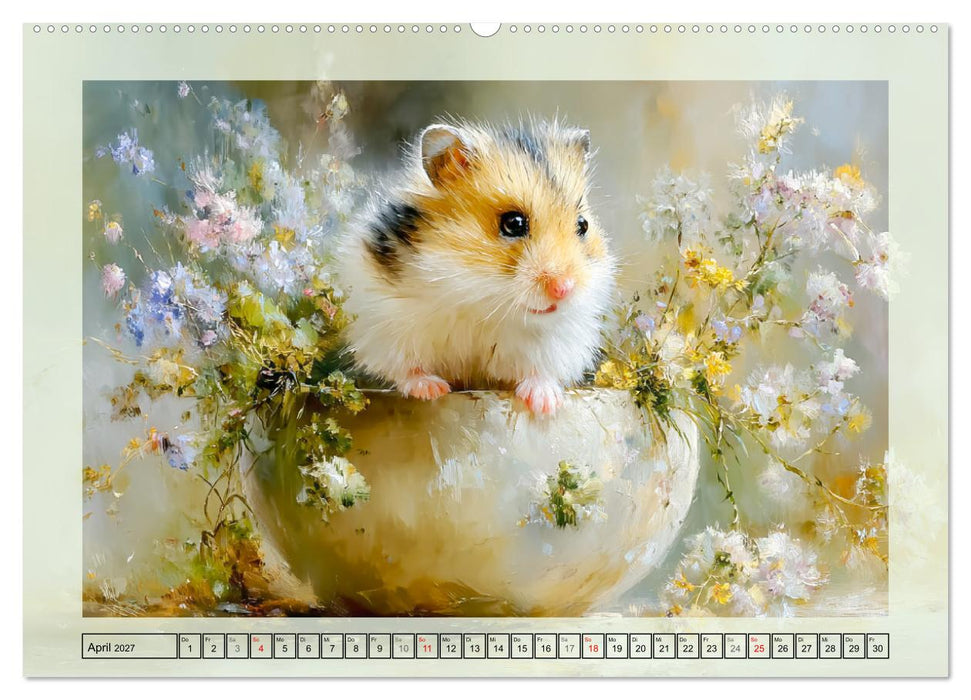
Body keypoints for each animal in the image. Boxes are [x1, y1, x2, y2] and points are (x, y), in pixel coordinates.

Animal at [339, 118, 616, 415]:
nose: (564, 289)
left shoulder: (559, 342)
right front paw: (431, 390)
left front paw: (544, 404)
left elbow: (540, 371)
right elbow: (408, 368)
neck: (479, 300)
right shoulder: (386, 322)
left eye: (582, 225)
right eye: (513, 223)